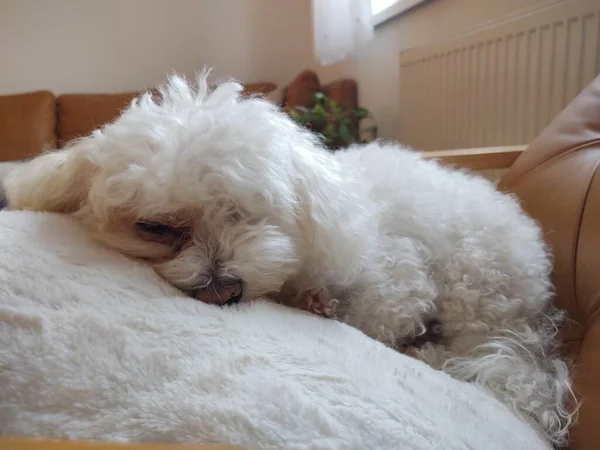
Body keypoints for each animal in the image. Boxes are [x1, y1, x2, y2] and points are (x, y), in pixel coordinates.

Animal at [4, 74, 576, 446]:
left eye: (245, 212)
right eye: (157, 227)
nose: (222, 289)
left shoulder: (395, 282)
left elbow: (374, 317)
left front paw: (320, 303)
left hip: (474, 285)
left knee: (467, 348)